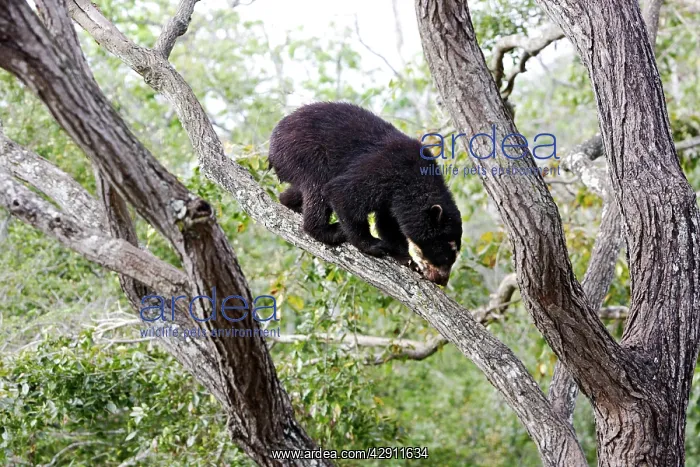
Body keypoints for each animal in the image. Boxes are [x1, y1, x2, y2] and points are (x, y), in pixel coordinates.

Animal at [268, 102, 462, 285]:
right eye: (447, 252)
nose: (442, 280)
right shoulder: (385, 170)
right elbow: (342, 193)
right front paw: (374, 245)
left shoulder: (394, 199)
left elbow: (388, 223)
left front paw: (407, 259)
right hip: (303, 153)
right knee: (317, 188)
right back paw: (330, 230)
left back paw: (289, 203)